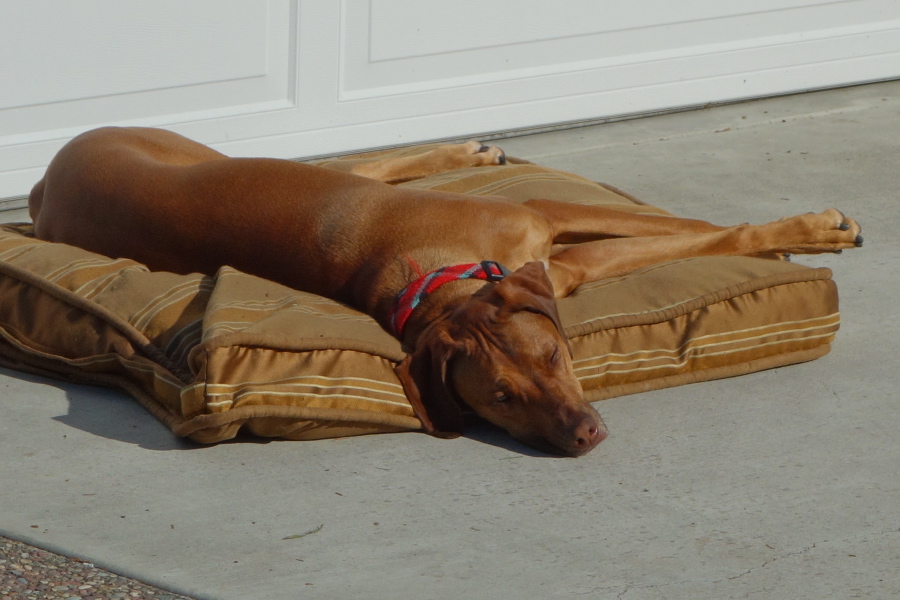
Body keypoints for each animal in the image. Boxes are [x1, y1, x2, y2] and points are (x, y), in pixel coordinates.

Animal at [26, 126, 856, 454]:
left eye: (553, 359)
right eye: (501, 399)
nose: (582, 437)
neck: (438, 277)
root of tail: (44, 180)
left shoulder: (544, 215)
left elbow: (700, 225)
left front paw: (810, 229)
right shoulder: (560, 258)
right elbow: (690, 236)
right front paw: (793, 232)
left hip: (217, 153)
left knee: (365, 166)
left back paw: (466, 152)